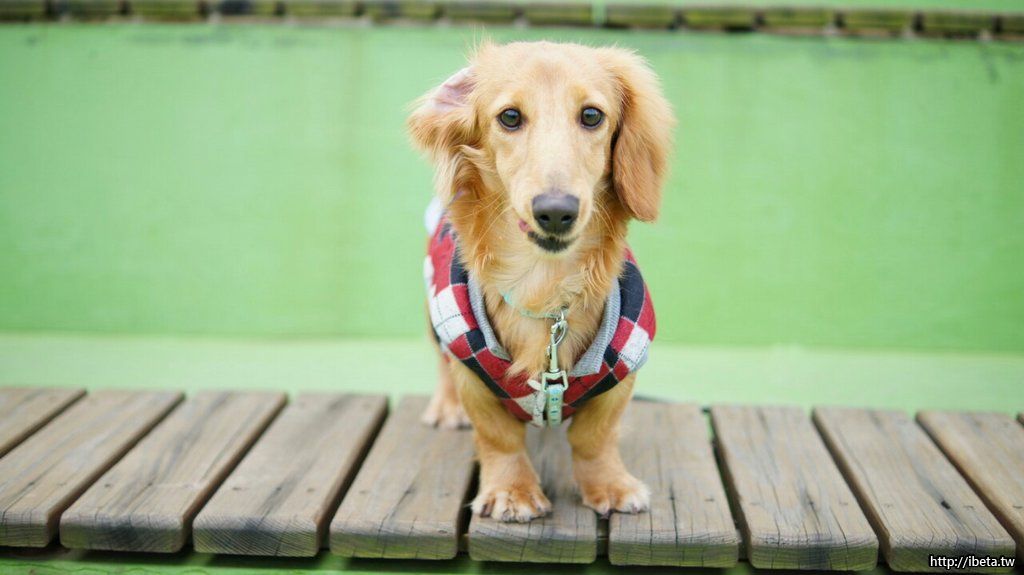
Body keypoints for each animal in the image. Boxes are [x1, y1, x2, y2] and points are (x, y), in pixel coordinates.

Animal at [409, 41, 673, 523]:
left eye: (592, 115)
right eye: (510, 116)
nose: (555, 210)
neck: (543, 287)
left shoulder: (623, 371)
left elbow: (594, 436)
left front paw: (609, 484)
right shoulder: (472, 374)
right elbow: (498, 436)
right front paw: (512, 491)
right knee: (441, 361)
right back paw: (446, 407)